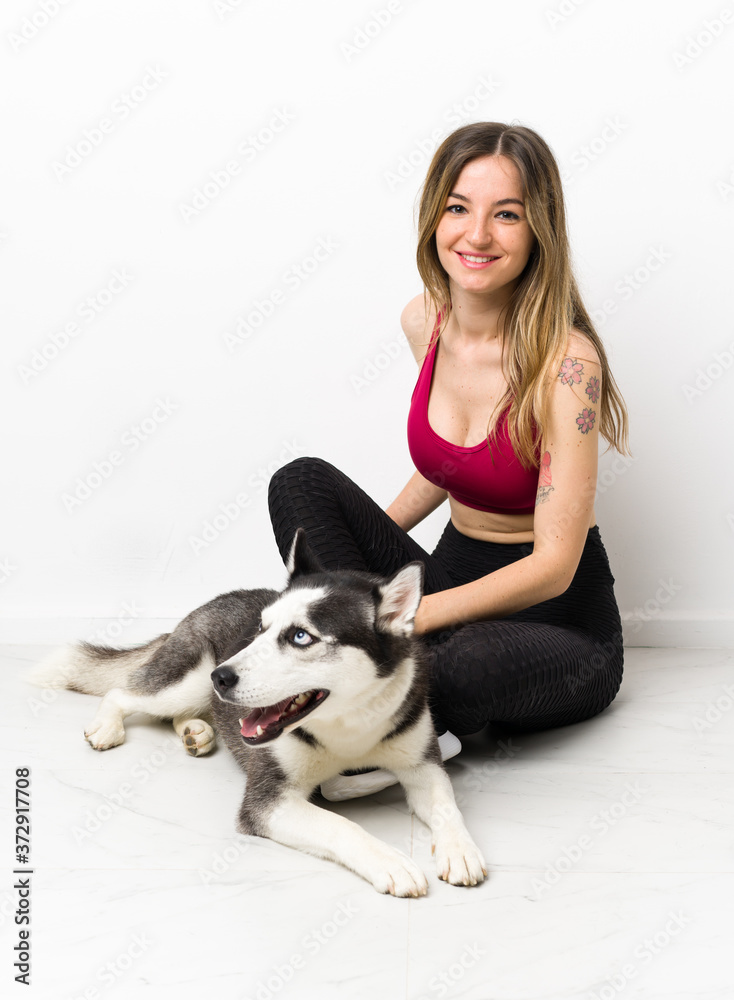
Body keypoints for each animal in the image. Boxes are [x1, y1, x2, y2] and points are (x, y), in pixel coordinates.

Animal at [30, 532, 488, 900]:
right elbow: (339, 819)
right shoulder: (267, 801)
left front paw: (460, 849)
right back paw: (108, 725)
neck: (349, 720)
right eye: (261, 629)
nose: (222, 676)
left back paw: (195, 731)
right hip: (183, 681)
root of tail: (209, 602)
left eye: (300, 636)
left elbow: (444, 801)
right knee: (123, 692)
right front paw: (390, 861)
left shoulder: (420, 761)